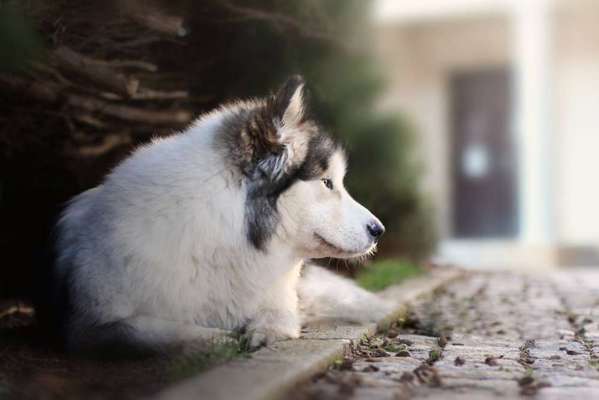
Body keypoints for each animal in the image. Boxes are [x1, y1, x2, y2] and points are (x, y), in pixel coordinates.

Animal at [54, 76, 394, 356]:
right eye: (326, 182)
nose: (379, 229)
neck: (220, 231)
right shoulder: (90, 327)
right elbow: (147, 330)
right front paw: (213, 339)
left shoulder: (279, 297)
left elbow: (279, 316)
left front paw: (264, 332)